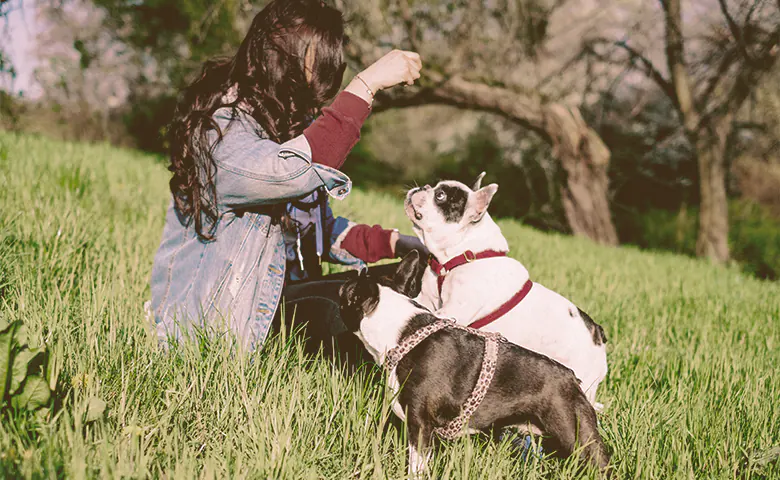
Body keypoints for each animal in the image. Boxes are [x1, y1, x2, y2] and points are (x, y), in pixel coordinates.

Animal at [408, 174, 608, 406]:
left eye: (440, 196)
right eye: (433, 186)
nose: (422, 187)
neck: (461, 256)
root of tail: (598, 335)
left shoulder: (452, 311)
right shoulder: (427, 298)